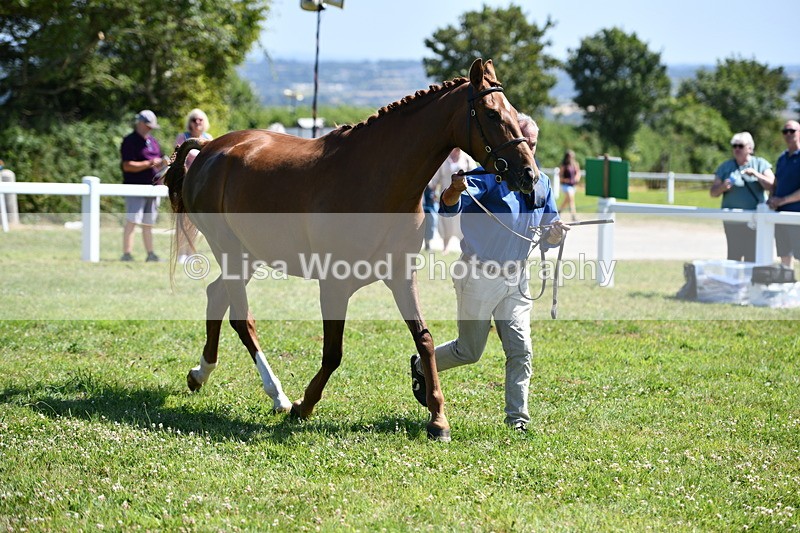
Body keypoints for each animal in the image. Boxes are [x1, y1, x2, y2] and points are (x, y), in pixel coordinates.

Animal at [163, 58, 539, 441]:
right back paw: (277, 395)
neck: (377, 182)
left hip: (249, 254)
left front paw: (437, 418)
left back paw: (200, 374)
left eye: (512, 112)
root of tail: (209, 149)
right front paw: (303, 405)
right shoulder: (334, 284)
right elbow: (333, 353)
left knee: (216, 296)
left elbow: (424, 339)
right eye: (492, 113)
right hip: (230, 250)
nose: (529, 174)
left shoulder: (402, 277)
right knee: (241, 318)